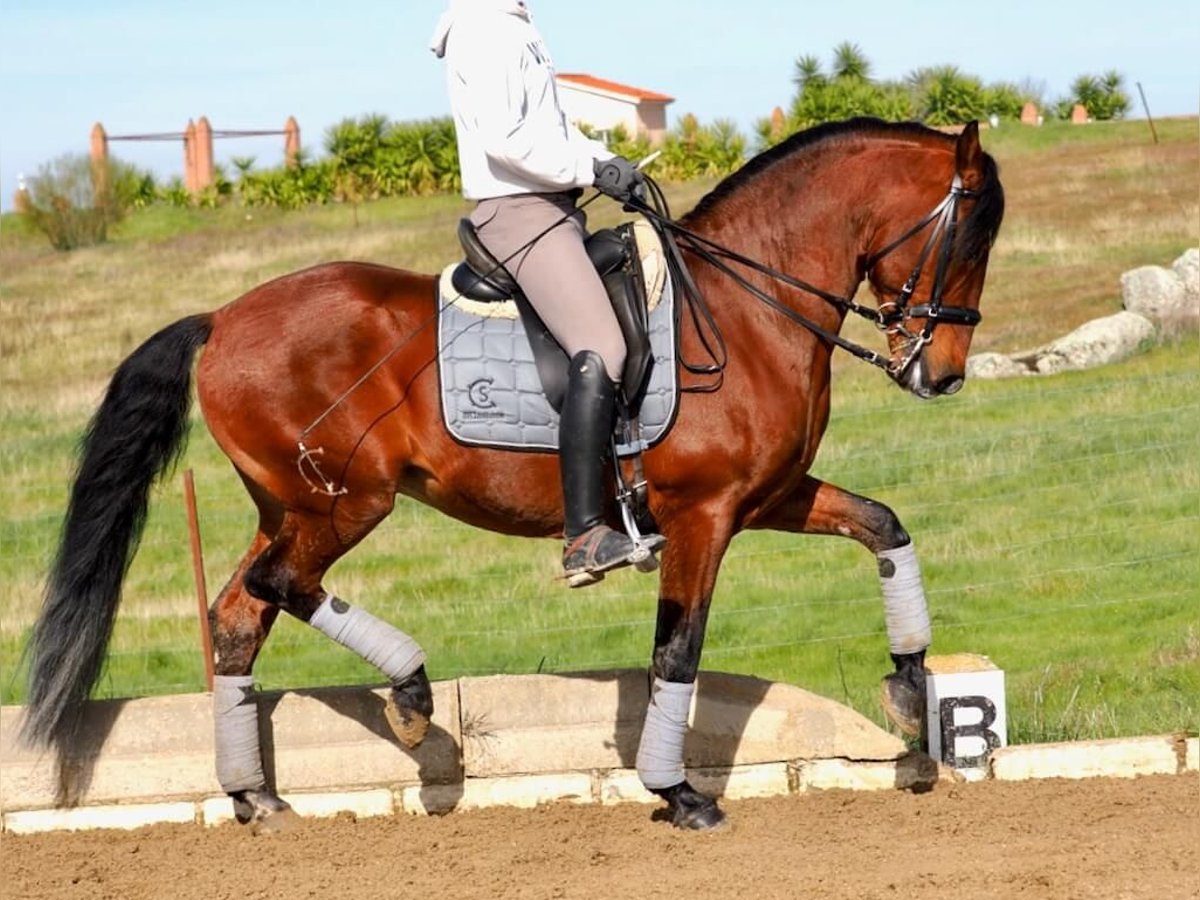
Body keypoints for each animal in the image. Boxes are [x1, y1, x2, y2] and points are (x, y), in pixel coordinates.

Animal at [23, 118, 1003, 830]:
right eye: (968, 237)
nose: (943, 374)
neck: (744, 305)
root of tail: (223, 317)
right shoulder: (703, 514)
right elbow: (677, 649)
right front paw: (677, 792)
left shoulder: (767, 497)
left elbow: (883, 524)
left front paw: (910, 685)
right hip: (346, 502)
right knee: (276, 586)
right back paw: (410, 693)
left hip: (294, 505)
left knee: (239, 611)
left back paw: (255, 793)